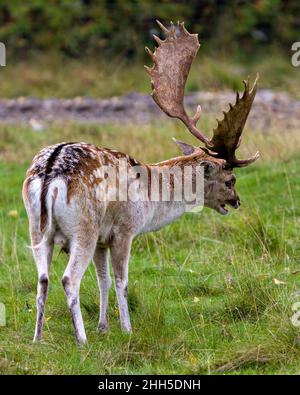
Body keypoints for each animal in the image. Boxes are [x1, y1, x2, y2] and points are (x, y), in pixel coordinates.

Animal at [22, 20, 258, 346]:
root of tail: (49, 173)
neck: (150, 199)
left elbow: (104, 280)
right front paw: (126, 329)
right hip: (83, 228)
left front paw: (104, 327)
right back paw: (81, 340)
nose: (236, 202)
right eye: (230, 179)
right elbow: (122, 280)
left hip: (36, 227)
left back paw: (38, 338)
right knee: (69, 278)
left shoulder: (102, 240)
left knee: (43, 278)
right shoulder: (124, 230)